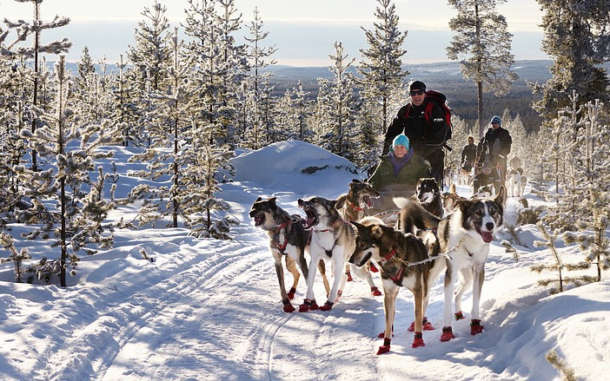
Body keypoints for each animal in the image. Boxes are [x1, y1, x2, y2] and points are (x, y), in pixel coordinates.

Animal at [350, 215, 444, 352]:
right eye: (356, 244)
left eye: (362, 245)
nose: (350, 260)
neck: (392, 254)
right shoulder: (388, 293)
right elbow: (388, 319)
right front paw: (386, 343)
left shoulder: (418, 290)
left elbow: (417, 313)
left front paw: (418, 339)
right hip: (394, 294)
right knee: (392, 312)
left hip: (425, 287)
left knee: (423, 305)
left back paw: (422, 323)